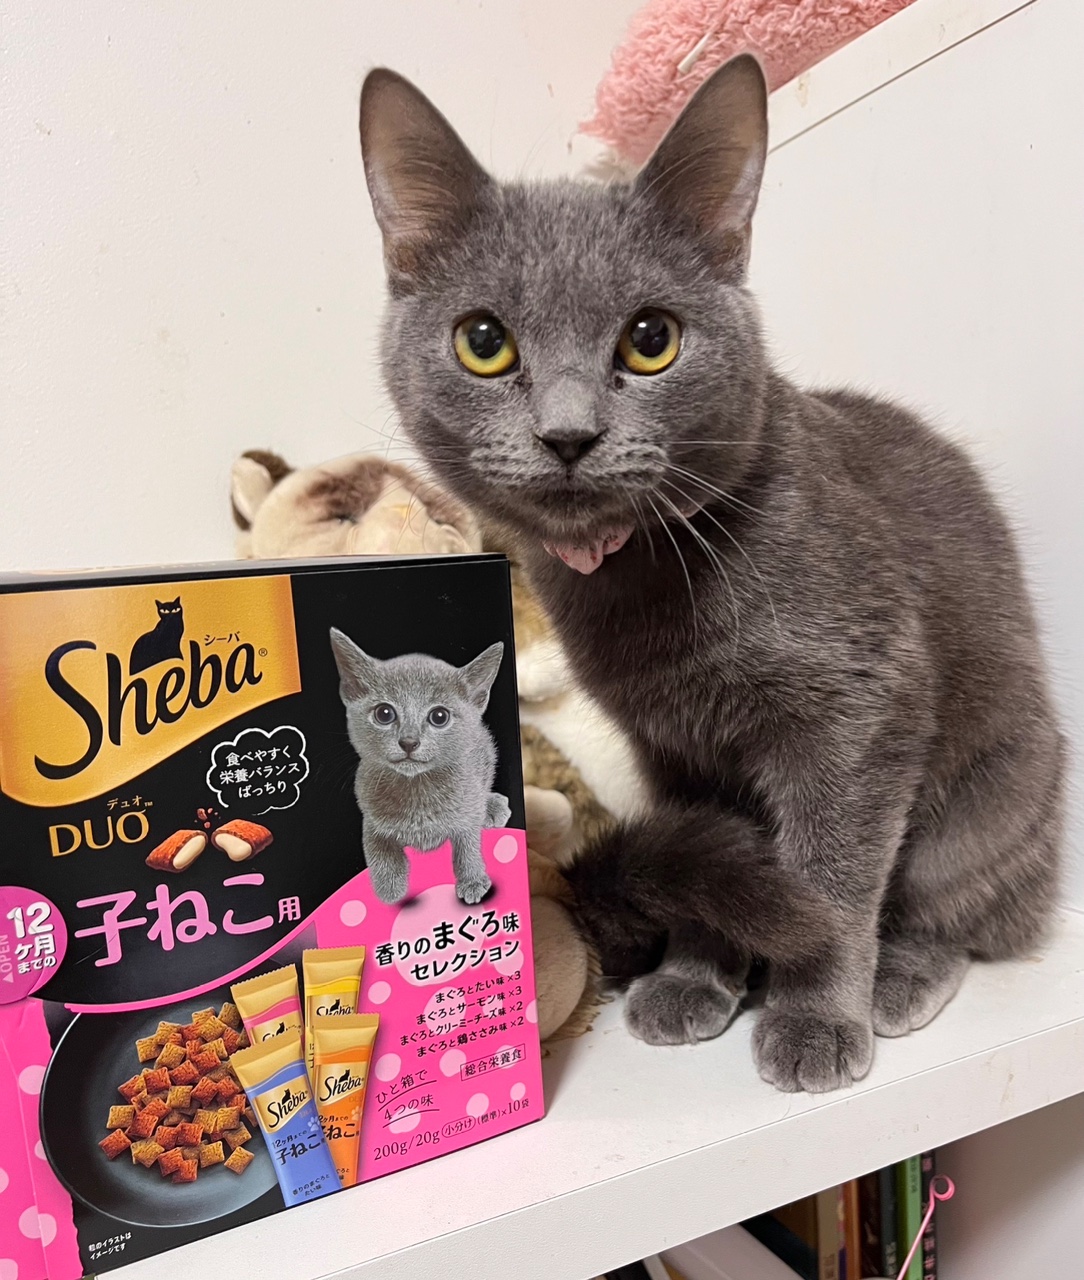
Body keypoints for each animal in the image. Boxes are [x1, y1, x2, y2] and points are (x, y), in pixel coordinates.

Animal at [330, 628, 510, 905]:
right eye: (384, 713)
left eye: (439, 716)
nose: (409, 741)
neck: (418, 791)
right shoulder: (370, 821)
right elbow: (378, 852)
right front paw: (390, 888)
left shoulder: (466, 814)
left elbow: (467, 843)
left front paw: (472, 881)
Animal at [356, 57, 1065, 1092]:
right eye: (483, 341)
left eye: (651, 338)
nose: (568, 435)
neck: (642, 591)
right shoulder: (671, 749)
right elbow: (711, 866)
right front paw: (695, 979)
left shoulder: (858, 716)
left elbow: (830, 880)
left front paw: (812, 1015)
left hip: (990, 800)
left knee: (963, 912)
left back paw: (898, 978)